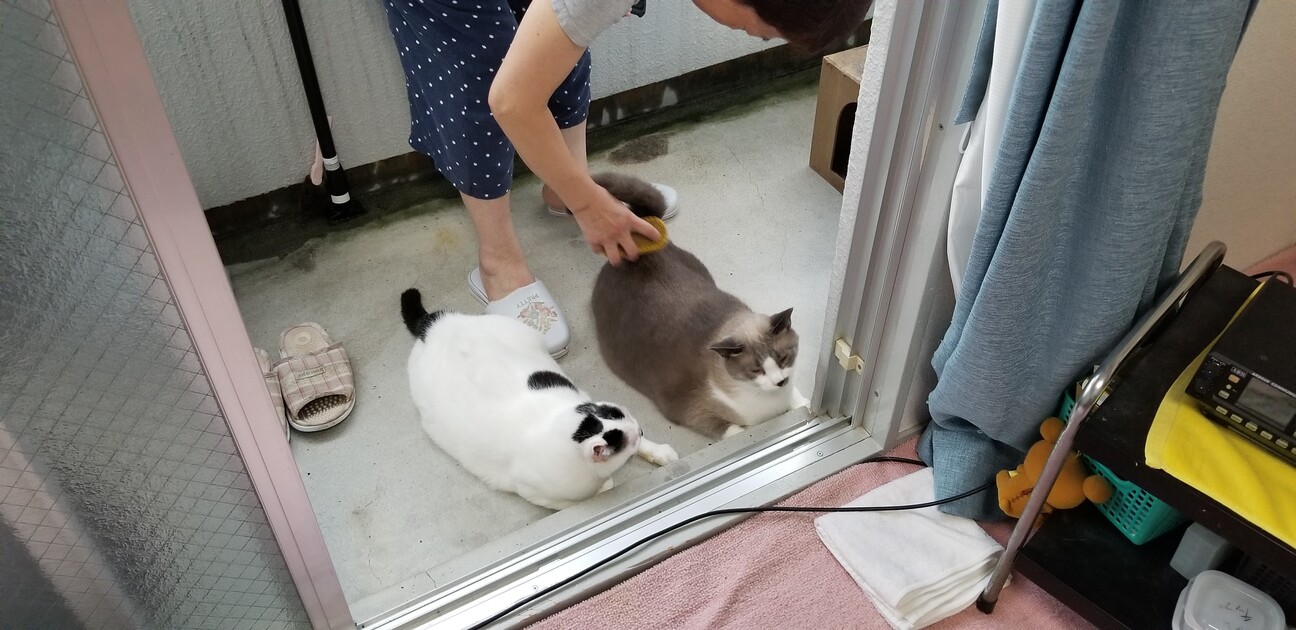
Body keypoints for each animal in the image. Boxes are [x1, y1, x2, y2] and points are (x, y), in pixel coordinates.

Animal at [401, 288, 679, 510]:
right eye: (629, 442)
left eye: (633, 422)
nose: (640, 430)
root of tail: (434, 327)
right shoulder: (538, 494)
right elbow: (594, 491)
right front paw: (605, 485)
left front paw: (660, 453)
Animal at [590, 172, 809, 440]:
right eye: (756, 370)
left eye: (783, 357)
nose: (779, 382)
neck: (773, 407)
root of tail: (637, 248)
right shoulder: (692, 411)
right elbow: (731, 430)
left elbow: (800, 401)